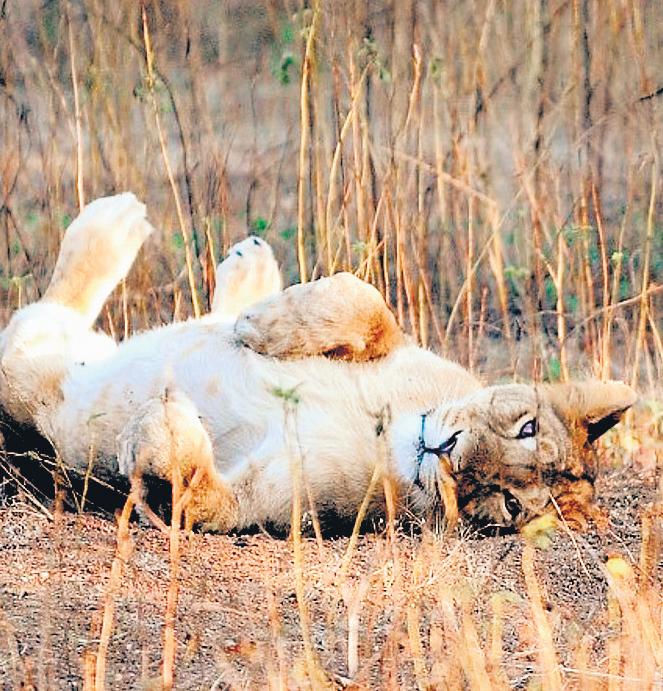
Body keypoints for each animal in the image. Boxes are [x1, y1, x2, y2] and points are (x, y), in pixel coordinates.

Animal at [0, 193, 636, 533]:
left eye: (506, 505)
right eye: (524, 427)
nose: (447, 452)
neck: (389, 430)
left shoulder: (265, 504)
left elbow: (193, 492)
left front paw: (163, 425)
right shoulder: (400, 344)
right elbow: (365, 300)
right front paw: (258, 326)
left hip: (32, 379)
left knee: (38, 323)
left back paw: (120, 226)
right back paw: (231, 261)